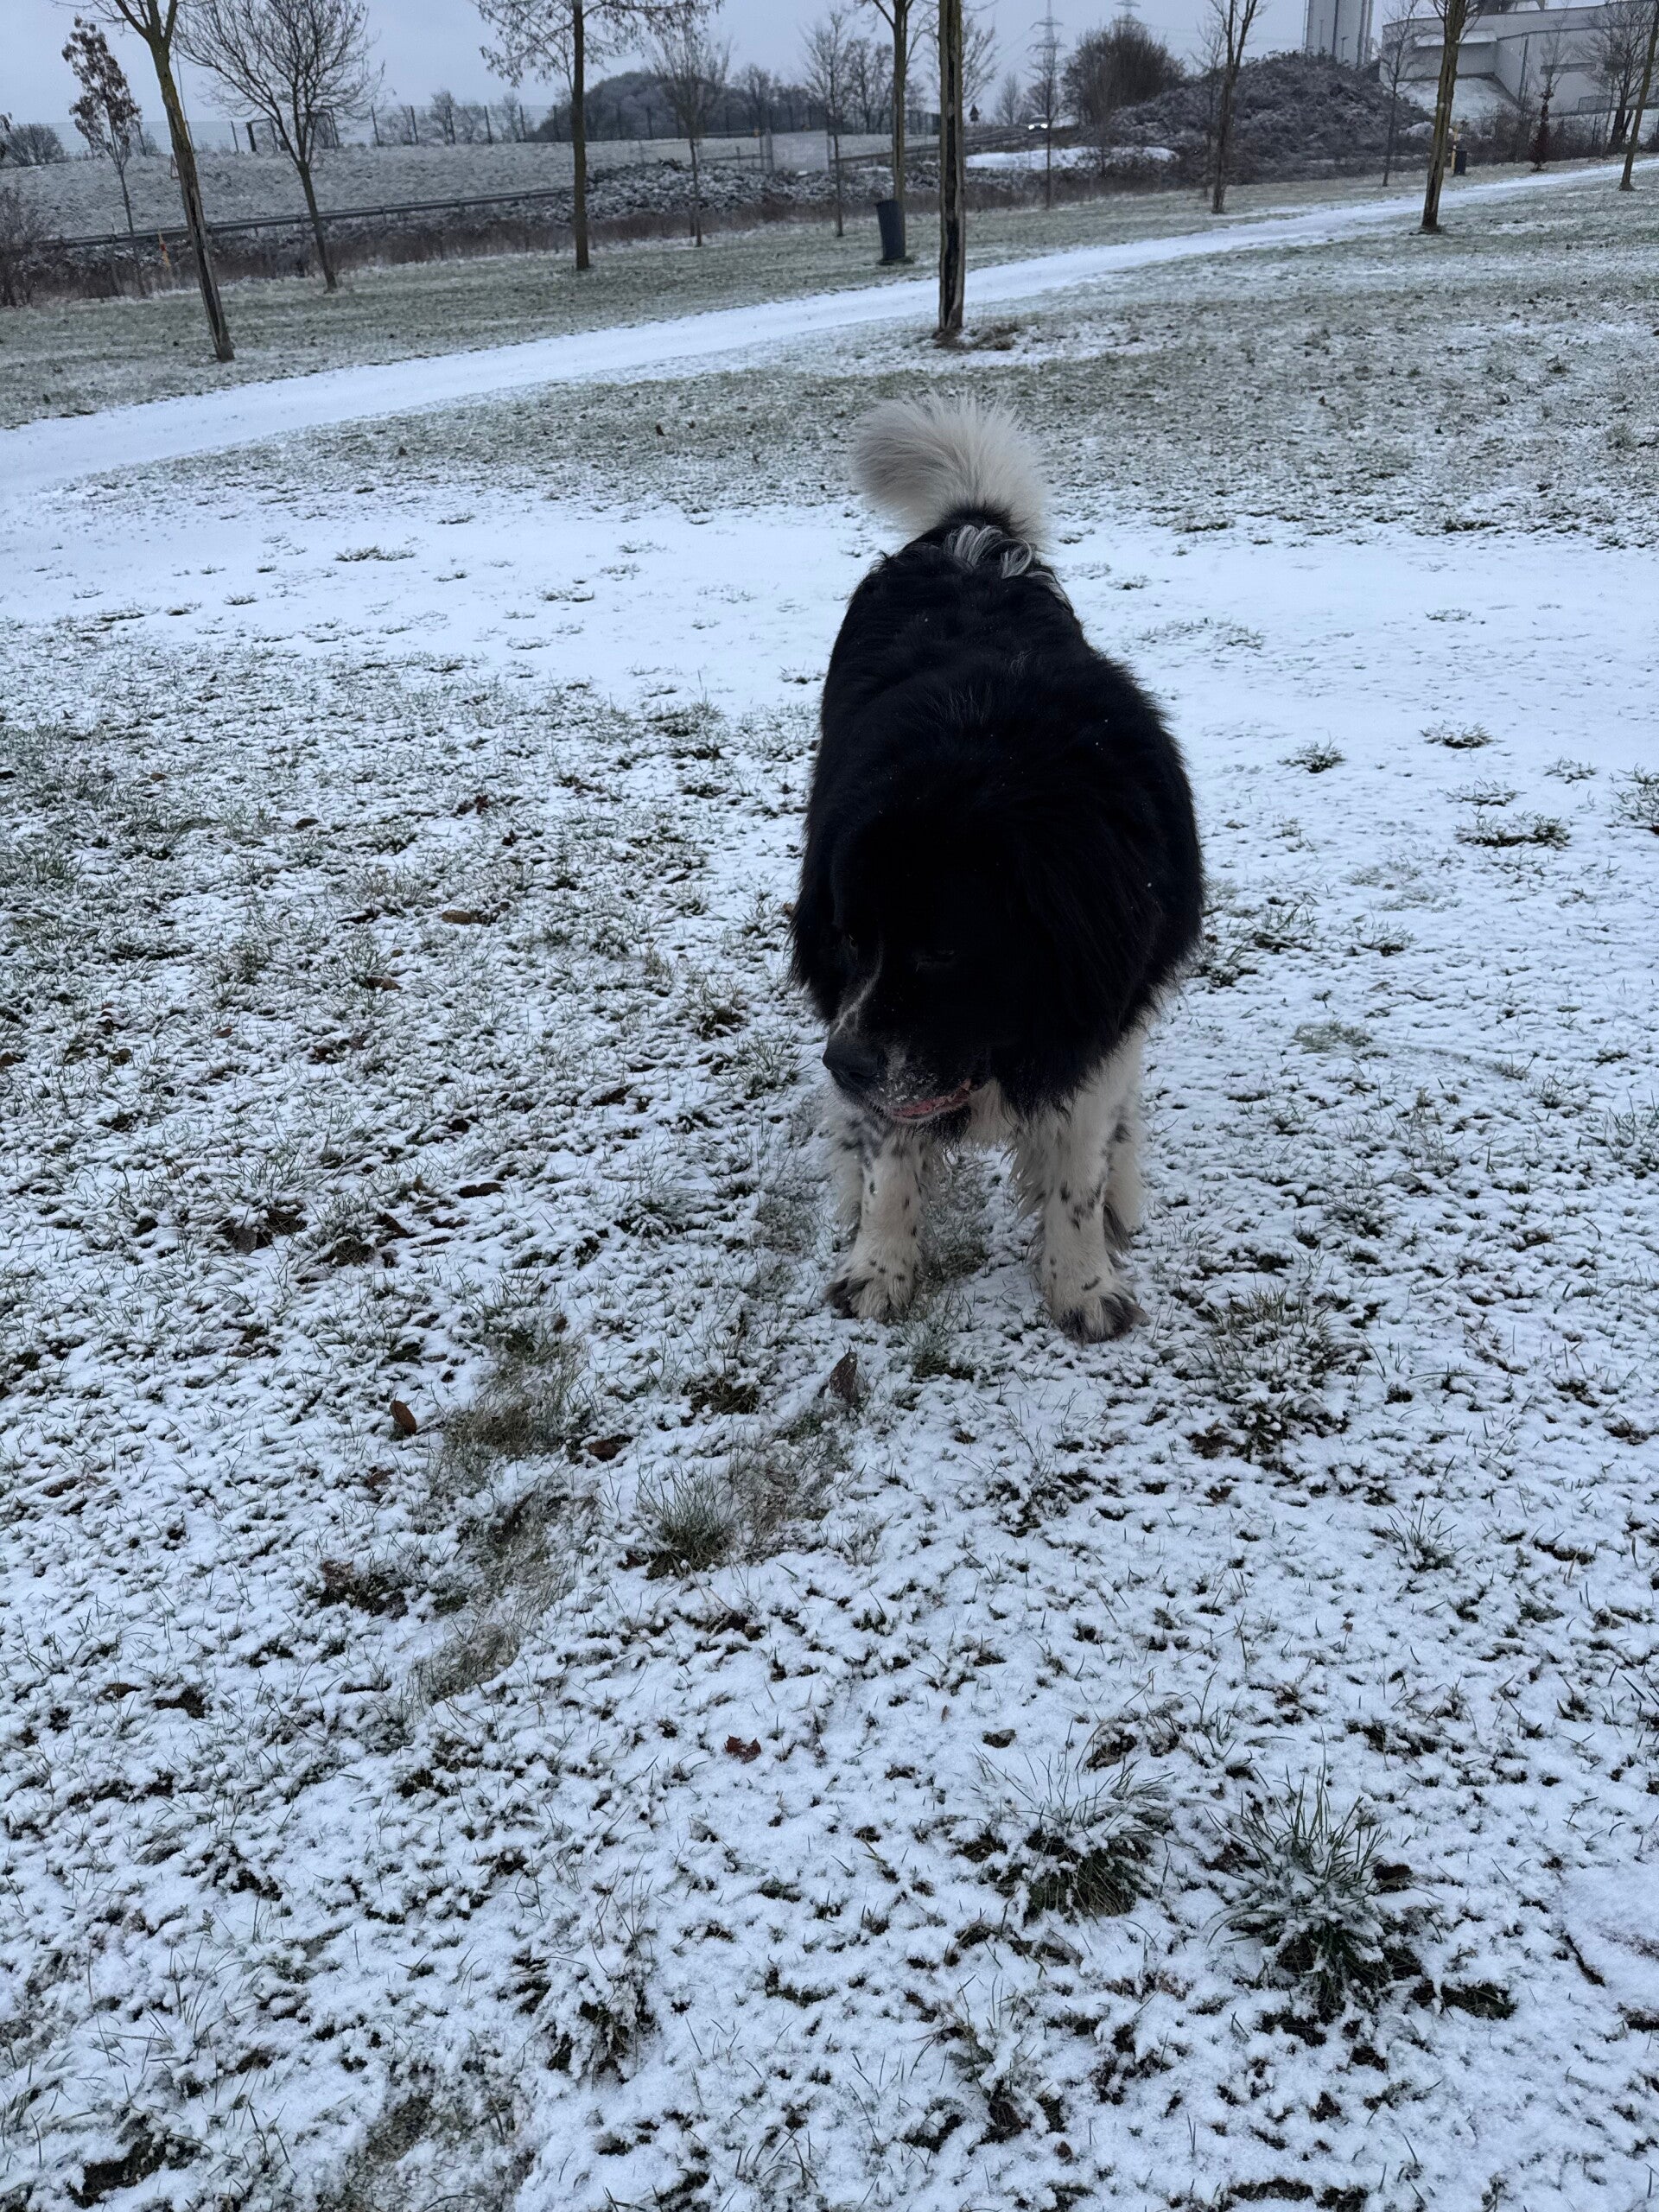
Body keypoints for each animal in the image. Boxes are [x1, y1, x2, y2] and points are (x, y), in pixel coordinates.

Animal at [790, 395, 1203, 1342]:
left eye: (945, 949)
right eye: (852, 937)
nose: (843, 1065)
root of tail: (966, 534)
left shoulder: (1100, 1007)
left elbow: (1079, 1163)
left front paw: (1082, 1284)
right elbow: (891, 1155)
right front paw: (880, 1265)